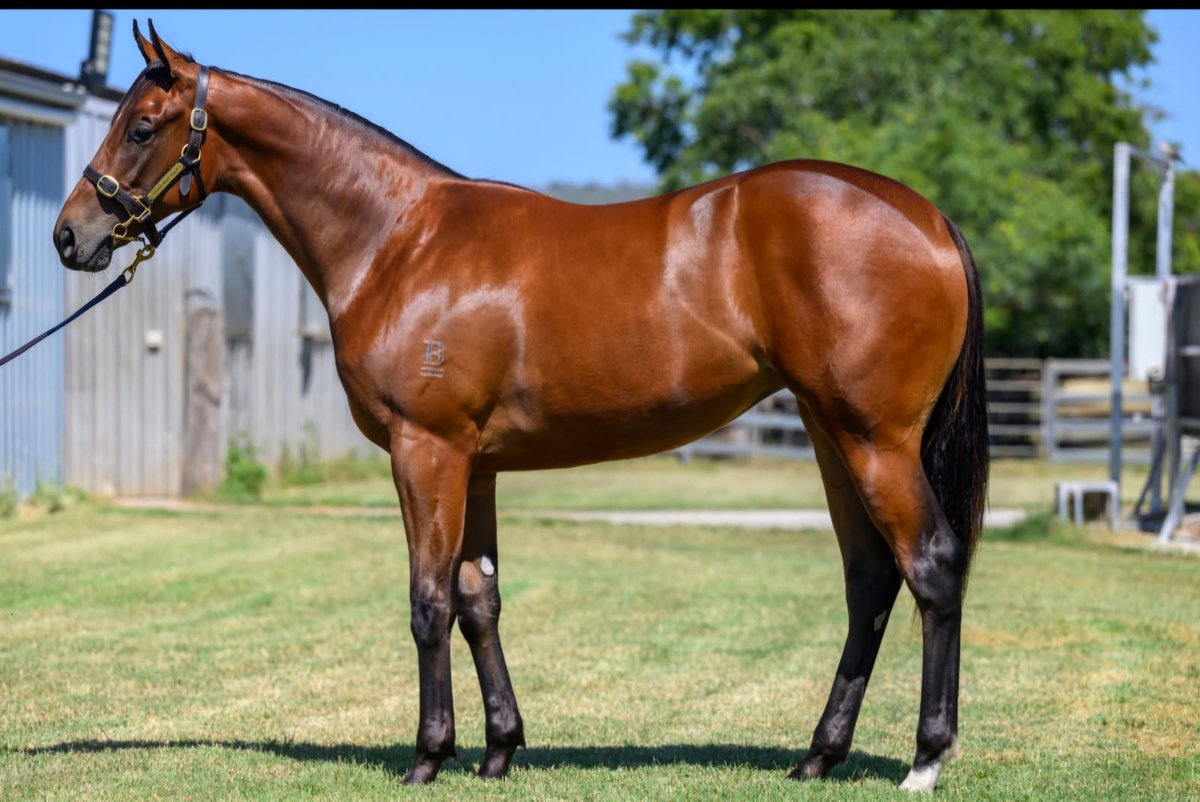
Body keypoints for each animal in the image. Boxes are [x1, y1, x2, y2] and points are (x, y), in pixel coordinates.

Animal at [53, 21, 988, 792]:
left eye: (142, 126)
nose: (70, 236)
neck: (399, 239)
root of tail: (929, 217)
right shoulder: (476, 465)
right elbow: (479, 600)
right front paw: (500, 748)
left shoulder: (425, 450)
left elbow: (429, 600)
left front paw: (428, 756)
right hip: (833, 437)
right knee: (869, 580)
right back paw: (819, 755)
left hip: (875, 440)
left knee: (932, 566)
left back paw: (925, 759)